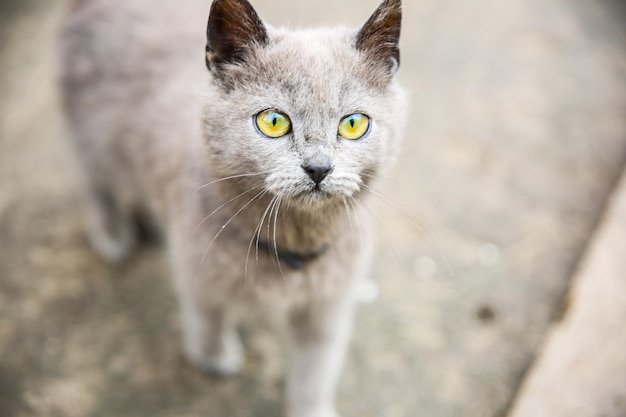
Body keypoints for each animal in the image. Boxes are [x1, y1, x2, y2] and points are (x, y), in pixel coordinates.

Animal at [61, 0, 404, 414]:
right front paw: (215, 358)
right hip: (89, 136)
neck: (293, 243)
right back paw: (112, 237)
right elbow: (207, 317)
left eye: (353, 124)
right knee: (91, 181)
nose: (319, 167)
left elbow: (316, 371)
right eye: (273, 121)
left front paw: (311, 407)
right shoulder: (197, 268)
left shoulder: (329, 303)